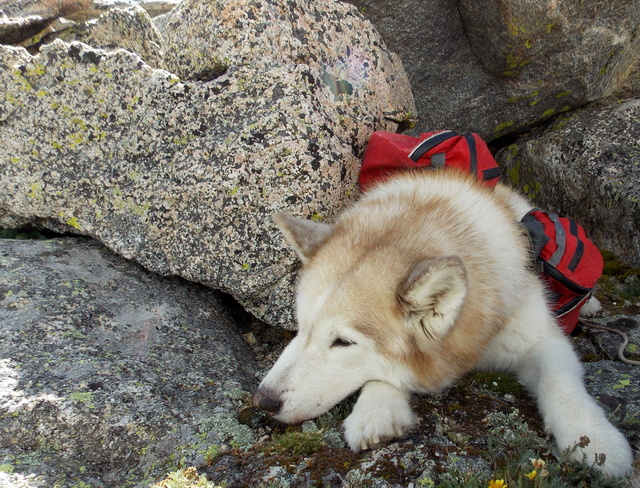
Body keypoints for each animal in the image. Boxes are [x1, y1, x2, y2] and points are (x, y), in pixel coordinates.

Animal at [252, 169, 632, 476]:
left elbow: (560, 383)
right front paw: (377, 408)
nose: (263, 401)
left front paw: (594, 439)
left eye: (342, 342)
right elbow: (388, 375)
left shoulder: (540, 338)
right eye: (301, 327)